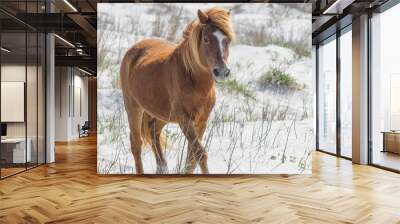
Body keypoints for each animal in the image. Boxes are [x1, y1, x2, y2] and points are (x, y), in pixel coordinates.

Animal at [120, 7, 236, 174]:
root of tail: (133, 50)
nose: (221, 72)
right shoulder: (184, 118)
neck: (193, 80)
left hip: (162, 114)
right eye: (206, 39)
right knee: (136, 144)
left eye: (227, 40)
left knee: (153, 131)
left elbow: (191, 158)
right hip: (133, 108)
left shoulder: (202, 120)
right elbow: (200, 153)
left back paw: (162, 168)